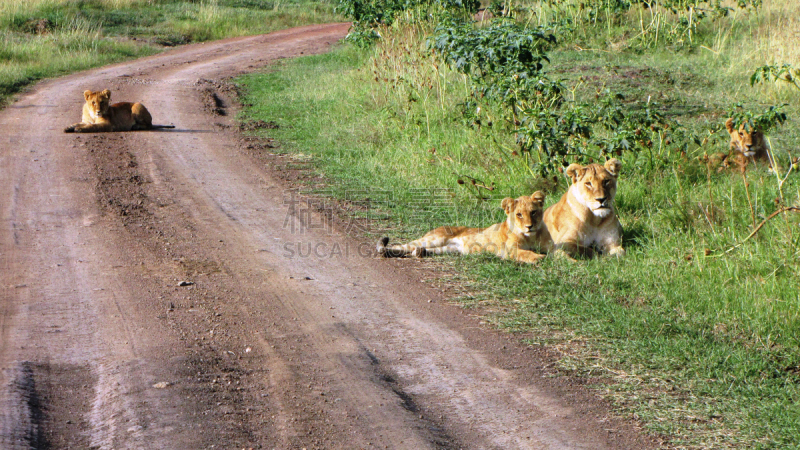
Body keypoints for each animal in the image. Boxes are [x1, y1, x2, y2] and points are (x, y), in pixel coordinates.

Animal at [380, 191, 552, 264]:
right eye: (519, 215)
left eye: (533, 212)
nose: (529, 226)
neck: (531, 236)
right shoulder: (509, 250)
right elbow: (525, 253)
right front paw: (538, 258)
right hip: (435, 238)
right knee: (404, 246)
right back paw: (383, 249)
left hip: (450, 249)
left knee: (419, 250)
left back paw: (420, 253)